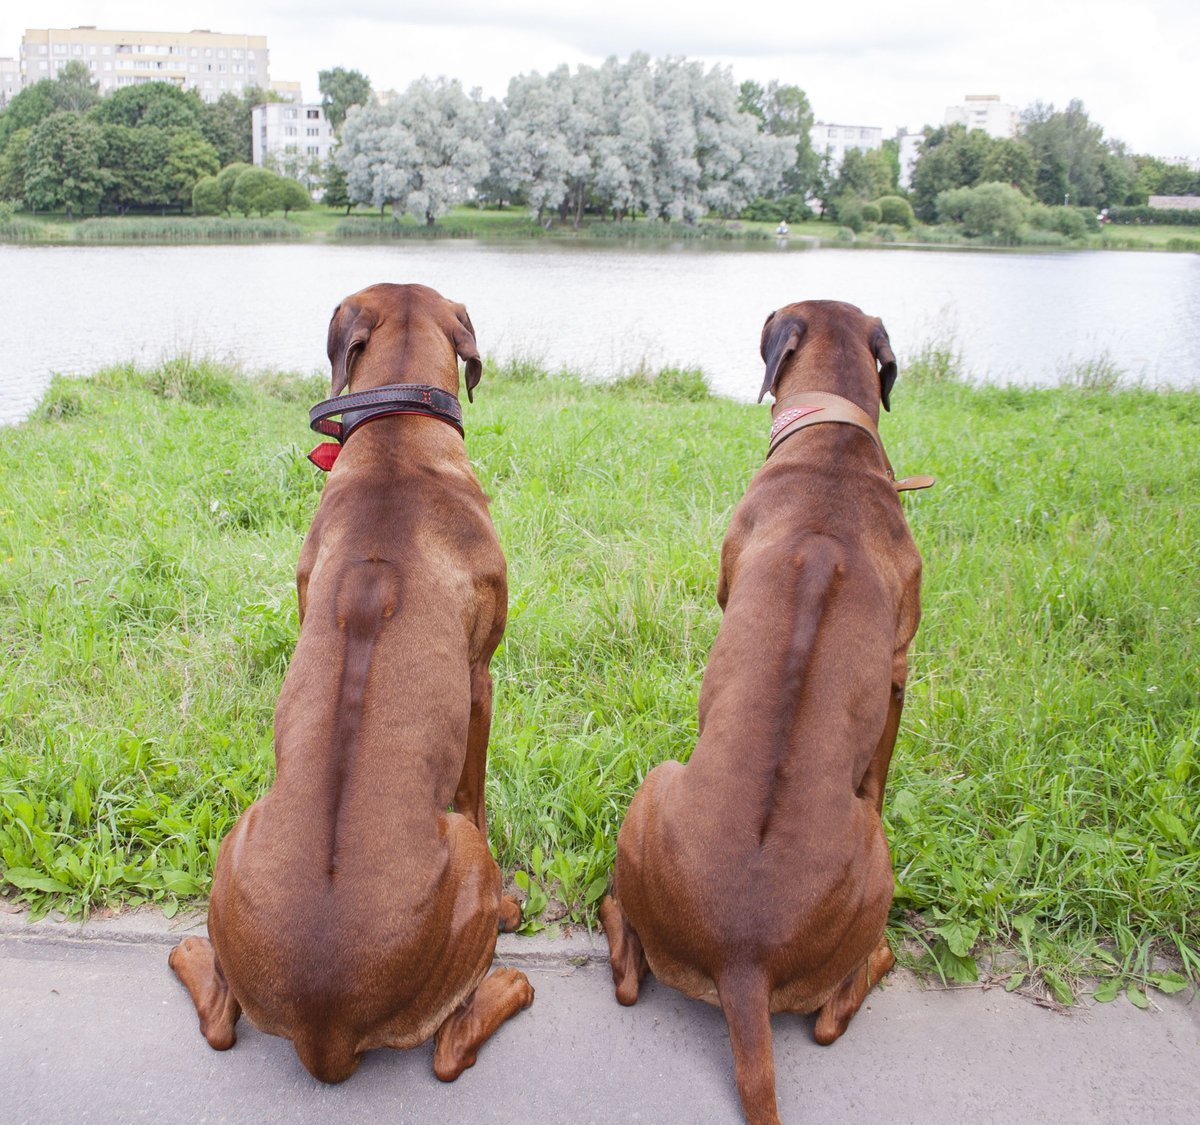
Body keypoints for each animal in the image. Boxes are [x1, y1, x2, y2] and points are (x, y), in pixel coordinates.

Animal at [168, 285, 530, 1084]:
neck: (398, 433)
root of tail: (324, 1023)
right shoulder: (480, 678)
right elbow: (475, 785)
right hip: (464, 856)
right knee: (449, 1049)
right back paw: (511, 966)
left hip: (238, 836)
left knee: (221, 1020)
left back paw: (188, 952)